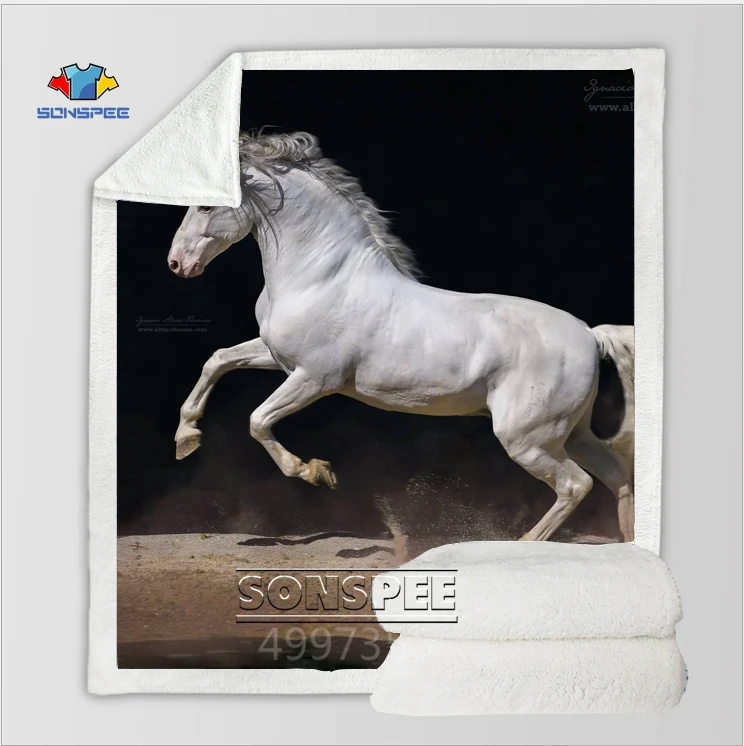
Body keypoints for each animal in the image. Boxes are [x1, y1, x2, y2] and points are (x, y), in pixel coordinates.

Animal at [167, 131, 635, 542]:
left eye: (207, 206)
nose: (176, 264)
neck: (321, 277)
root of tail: (589, 335)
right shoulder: (277, 356)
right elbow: (218, 359)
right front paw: (186, 440)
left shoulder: (315, 378)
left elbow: (258, 420)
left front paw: (315, 471)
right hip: (569, 434)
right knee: (616, 475)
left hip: (528, 439)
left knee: (575, 486)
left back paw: (524, 545)